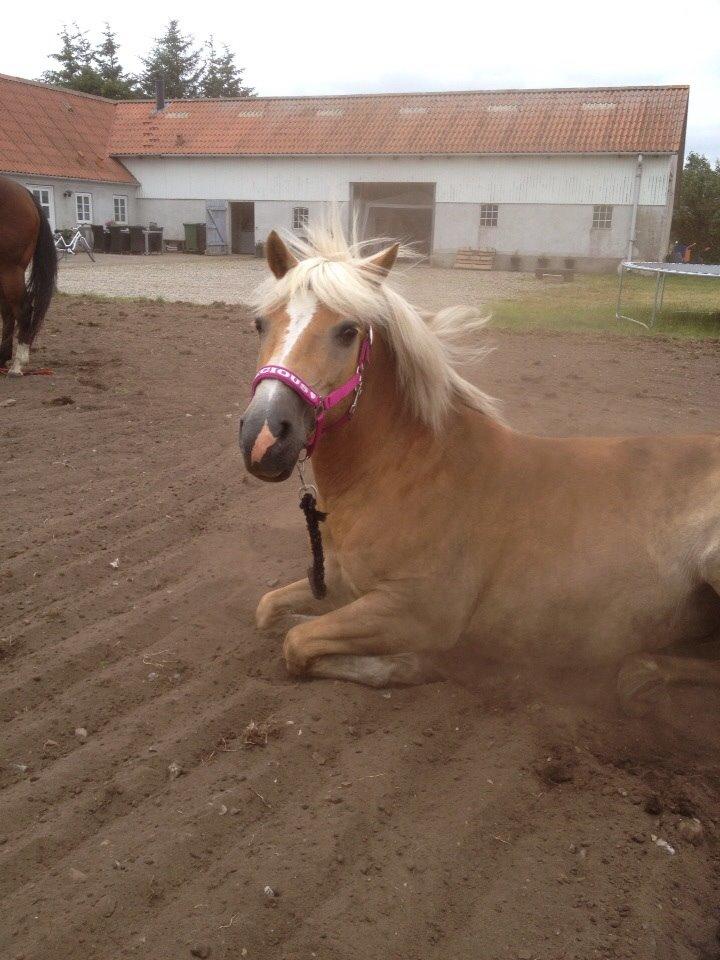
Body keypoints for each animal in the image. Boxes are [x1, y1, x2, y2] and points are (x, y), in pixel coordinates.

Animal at [240, 223, 720, 712]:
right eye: (260, 323)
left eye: (348, 330)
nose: (263, 438)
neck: (405, 470)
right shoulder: (341, 582)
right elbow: (267, 611)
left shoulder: (416, 610)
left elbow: (297, 643)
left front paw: (414, 664)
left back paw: (641, 674)